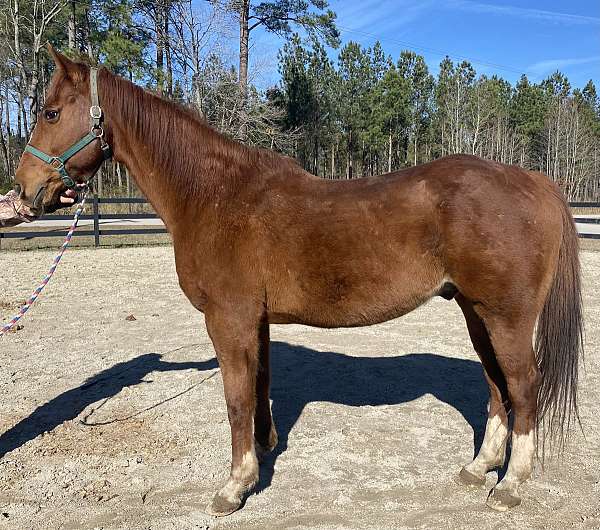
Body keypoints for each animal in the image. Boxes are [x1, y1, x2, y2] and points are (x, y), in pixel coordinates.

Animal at [14, 48, 580, 512]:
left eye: (49, 112)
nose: (24, 189)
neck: (215, 195)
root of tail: (534, 180)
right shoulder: (256, 320)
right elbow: (260, 384)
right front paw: (263, 452)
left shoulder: (229, 320)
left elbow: (236, 398)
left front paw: (235, 486)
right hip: (475, 312)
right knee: (496, 387)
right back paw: (479, 467)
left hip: (506, 317)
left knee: (523, 387)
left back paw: (510, 485)